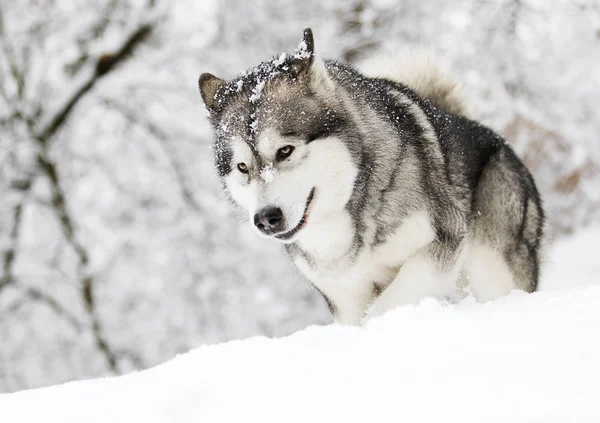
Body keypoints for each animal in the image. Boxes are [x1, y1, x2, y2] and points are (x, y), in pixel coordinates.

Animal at [199, 28, 548, 324]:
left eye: (285, 150)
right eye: (242, 167)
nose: (266, 219)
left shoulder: (441, 245)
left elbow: (385, 307)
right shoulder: (345, 293)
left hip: (491, 266)